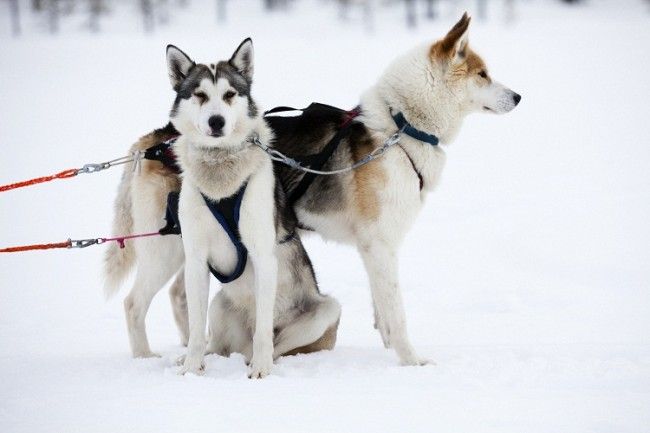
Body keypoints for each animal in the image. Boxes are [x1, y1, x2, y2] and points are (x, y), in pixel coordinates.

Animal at [101, 40, 340, 378]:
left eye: (229, 94)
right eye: (200, 95)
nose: (217, 121)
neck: (220, 179)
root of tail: (148, 143)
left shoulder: (262, 256)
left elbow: (263, 332)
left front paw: (261, 371)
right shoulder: (197, 258)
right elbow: (196, 327)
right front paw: (191, 369)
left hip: (325, 311)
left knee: (267, 341)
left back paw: (256, 360)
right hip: (187, 271)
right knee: (158, 314)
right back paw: (165, 357)